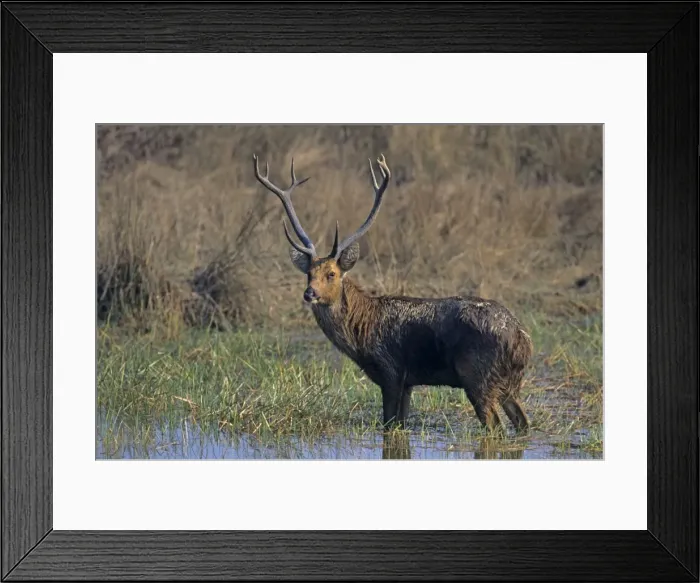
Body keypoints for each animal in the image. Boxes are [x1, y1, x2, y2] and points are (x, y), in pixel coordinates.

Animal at [252, 153, 533, 434]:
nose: (309, 293)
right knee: (522, 423)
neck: (360, 334)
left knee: (496, 427)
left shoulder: (390, 371)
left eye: (331, 274)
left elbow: (388, 426)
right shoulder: (408, 381)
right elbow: (400, 427)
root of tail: (521, 339)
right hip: (508, 382)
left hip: (477, 375)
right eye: (309, 273)